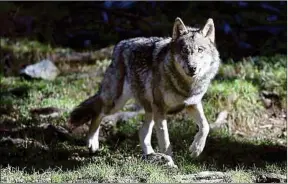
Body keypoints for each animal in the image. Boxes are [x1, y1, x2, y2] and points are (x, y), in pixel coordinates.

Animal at [67, 17, 220, 167]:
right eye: (184, 51)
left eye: (200, 50)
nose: (192, 67)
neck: (186, 86)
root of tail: (121, 44)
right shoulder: (160, 110)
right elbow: (165, 142)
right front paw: (170, 162)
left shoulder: (192, 104)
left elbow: (205, 126)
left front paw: (196, 149)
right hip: (116, 103)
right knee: (97, 112)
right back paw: (92, 143)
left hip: (149, 111)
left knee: (141, 132)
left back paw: (150, 155)